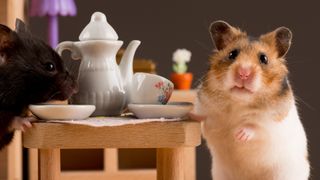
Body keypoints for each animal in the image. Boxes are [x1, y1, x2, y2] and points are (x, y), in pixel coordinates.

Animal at [194, 21, 308, 180]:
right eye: (232, 54)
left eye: (264, 58)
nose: (243, 73)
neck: (238, 102)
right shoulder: (203, 106)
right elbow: (202, 119)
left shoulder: (273, 123)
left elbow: (256, 126)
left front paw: (238, 135)